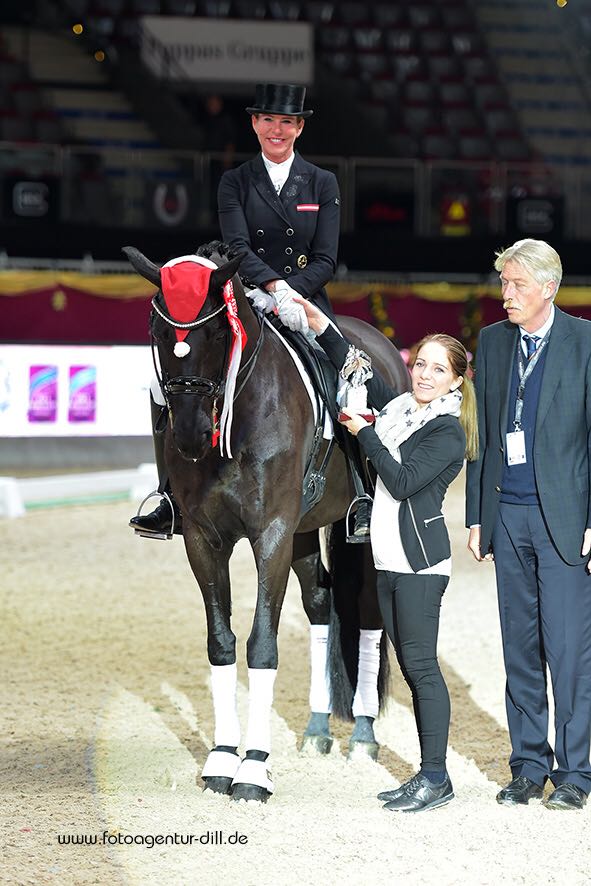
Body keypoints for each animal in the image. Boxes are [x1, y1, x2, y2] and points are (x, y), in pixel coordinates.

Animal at [125, 243, 412, 804]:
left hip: (355, 535)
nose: (189, 435)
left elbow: (262, 644)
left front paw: (254, 770)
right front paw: (221, 760)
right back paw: (318, 730)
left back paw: (363, 738)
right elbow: (221, 643)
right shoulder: (203, 539)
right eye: (157, 330)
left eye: (219, 333)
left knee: (368, 613)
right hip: (303, 530)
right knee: (322, 604)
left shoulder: (271, 534)